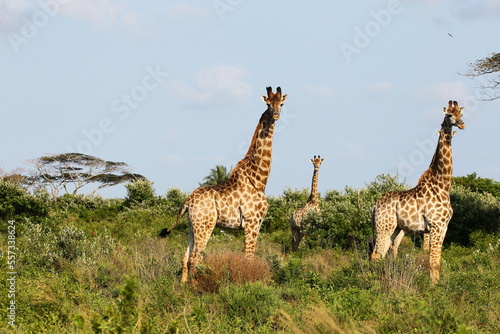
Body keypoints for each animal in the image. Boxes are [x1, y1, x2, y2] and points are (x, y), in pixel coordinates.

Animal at [158, 85, 288, 282]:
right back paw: (195, 286)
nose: (276, 114)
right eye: (268, 103)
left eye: (281, 103)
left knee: (185, 257)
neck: (259, 178)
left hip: (191, 226)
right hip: (205, 225)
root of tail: (188, 202)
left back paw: (182, 286)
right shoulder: (251, 222)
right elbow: (249, 257)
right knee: (195, 258)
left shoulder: (257, 223)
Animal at [372, 100, 464, 284]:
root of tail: (375, 206)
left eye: (461, 114)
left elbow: (438, 260)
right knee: (377, 254)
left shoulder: (444, 227)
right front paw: (433, 287)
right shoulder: (435, 226)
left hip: (395, 228)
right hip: (384, 226)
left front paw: (437, 284)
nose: (462, 124)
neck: (443, 185)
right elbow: (433, 261)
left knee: (382, 253)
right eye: (449, 115)